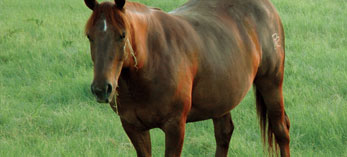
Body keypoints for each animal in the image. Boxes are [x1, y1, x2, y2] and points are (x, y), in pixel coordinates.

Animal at [83, 0, 290, 156]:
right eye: (89, 36)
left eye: (122, 35)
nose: (101, 89)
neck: (151, 60)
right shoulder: (133, 127)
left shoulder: (175, 127)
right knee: (224, 134)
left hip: (271, 82)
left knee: (281, 130)